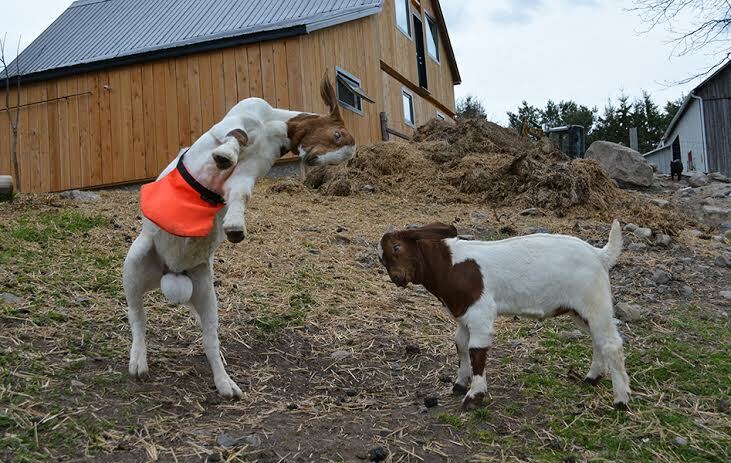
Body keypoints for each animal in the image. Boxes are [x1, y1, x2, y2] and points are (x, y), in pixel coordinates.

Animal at [123, 75, 357, 398]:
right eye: (337, 134)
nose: (311, 159)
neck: (271, 124)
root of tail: (171, 271)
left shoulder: (249, 171)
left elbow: (241, 193)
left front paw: (234, 225)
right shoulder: (235, 120)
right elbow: (237, 136)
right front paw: (224, 155)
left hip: (204, 290)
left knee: (209, 338)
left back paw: (225, 384)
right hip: (135, 261)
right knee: (137, 315)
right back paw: (138, 360)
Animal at [377, 221, 631, 410]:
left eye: (397, 248)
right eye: (382, 259)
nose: (397, 278)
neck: (450, 266)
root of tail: (599, 254)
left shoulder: (480, 313)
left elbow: (476, 350)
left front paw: (474, 396)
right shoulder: (463, 313)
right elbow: (460, 344)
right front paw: (460, 383)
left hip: (594, 300)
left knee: (611, 344)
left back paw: (621, 400)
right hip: (579, 310)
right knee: (598, 339)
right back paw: (592, 377)